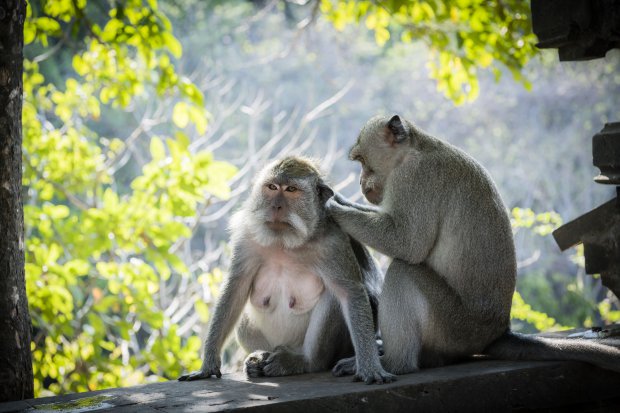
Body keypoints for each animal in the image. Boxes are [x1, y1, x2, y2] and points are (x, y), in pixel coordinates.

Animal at [177, 155, 394, 384]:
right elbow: (235, 288)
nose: (276, 206)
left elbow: (350, 293)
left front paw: (370, 367)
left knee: (333, 299)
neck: (283, 241)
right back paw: (260, 356)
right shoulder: (246, 237)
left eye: (291, 189)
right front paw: (208, 364)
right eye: (272, 187)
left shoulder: (334, 243)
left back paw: (304, 361)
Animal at [326, 114, 616, 374]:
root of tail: (497, 331)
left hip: (455, 328)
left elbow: (407, 244)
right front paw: (338, 199)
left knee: (404, 271)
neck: (413, 149)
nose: (361, 182)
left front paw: (333, 209)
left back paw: (394, 364)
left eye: (363, 161)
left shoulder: (414, 179)